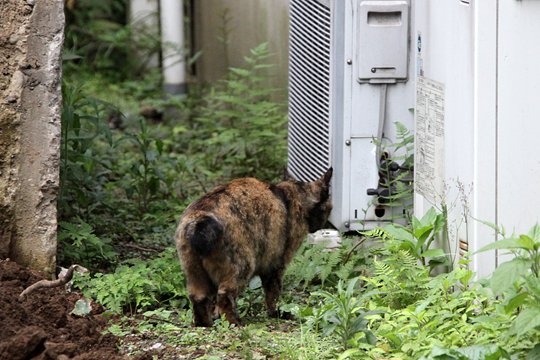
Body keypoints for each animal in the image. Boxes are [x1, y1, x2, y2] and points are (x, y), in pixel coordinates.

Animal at [175, 169, 332, 326]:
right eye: (329, 209)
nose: (323, 226)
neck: (296, 193)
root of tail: (199, 220)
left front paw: (216, 316)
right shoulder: (276, 264)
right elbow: (273, 293)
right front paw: (276, 313)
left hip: (194, 272)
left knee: (199, 298)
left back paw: (205, 324)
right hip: (244, 265)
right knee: (224, 294)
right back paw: (235, 323)